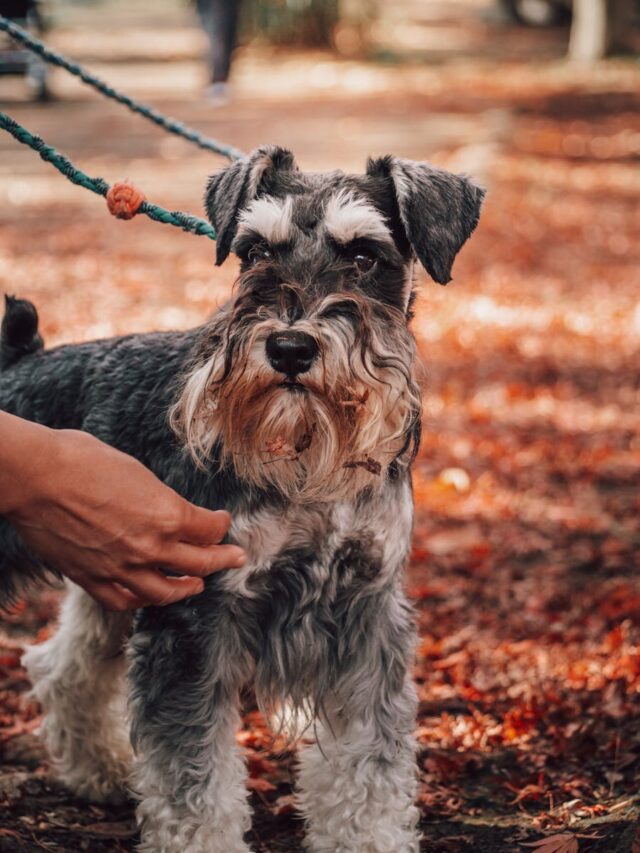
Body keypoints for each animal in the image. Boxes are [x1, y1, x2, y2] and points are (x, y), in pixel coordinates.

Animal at [0, 148, 480, 852]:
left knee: (65, 670)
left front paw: (369, 836)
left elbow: (369, 767)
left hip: (110, 578)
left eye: (365, 255)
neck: (308, 468)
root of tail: (21, 363)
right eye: (254, 252)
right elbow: (192, 779)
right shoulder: (194, 616)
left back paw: (101, 773)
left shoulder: (365, 614)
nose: (289, 347)